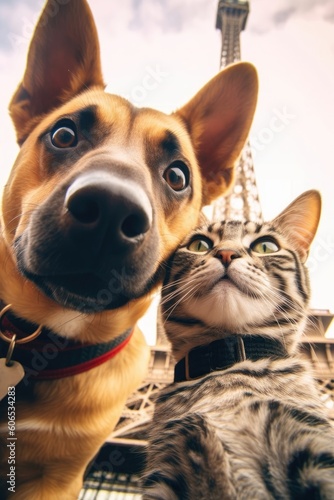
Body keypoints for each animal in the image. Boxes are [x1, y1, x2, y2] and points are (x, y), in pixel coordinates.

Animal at [142, 189, 334, 498]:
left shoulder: (309, 445)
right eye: (199, 244)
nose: (226, 253)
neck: (228, 365)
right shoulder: (167, 469)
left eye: (266, 246)